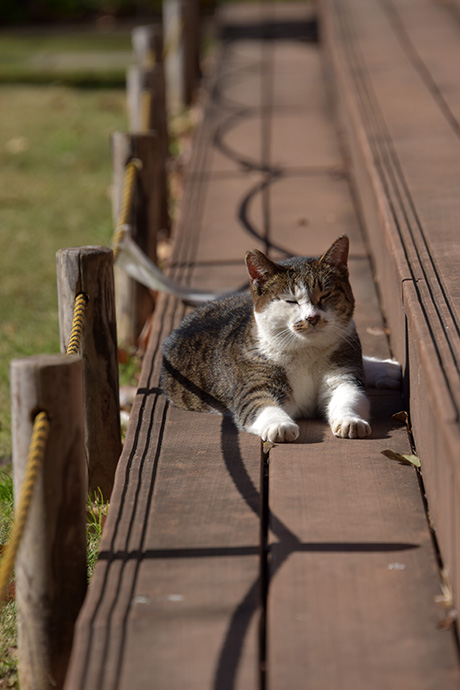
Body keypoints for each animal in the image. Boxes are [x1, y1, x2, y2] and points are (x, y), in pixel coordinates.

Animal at [161, 235, 398, 440]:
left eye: (326, 295)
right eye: (290, 301)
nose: (312, 317)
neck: (305, 349)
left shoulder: (343, 372)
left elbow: (350, 396)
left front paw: (350, 421)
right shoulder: (255, 384)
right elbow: (259, 405)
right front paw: (279, 425)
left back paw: (387, 369)